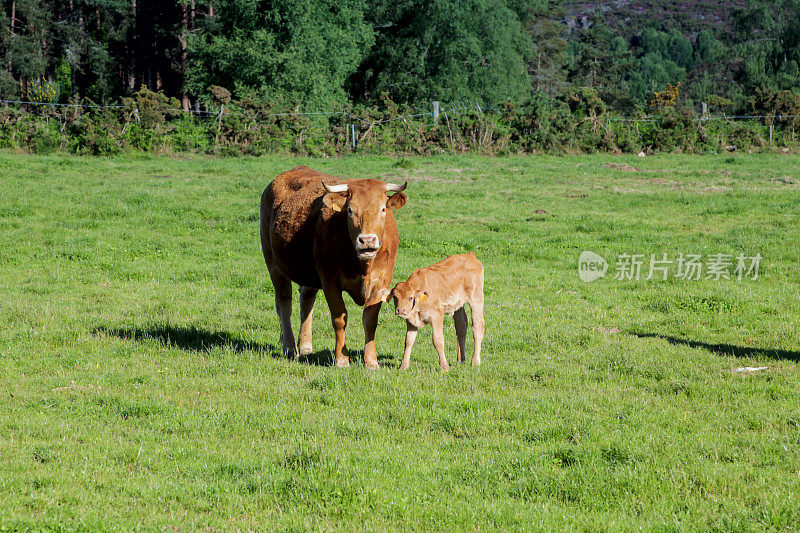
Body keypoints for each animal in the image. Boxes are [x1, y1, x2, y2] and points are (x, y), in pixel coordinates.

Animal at [260, 164, 406, 368]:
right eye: (350, 210)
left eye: (383, 209)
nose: (367, 240)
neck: (362, 265)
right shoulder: (330, 281)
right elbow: (339, 318)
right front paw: (342, 359)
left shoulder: (381, 283)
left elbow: (370, 320)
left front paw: (371, 361)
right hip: (273, 264)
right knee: (284, 304)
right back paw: (290, 347)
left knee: (306, 301)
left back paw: (305, 346)